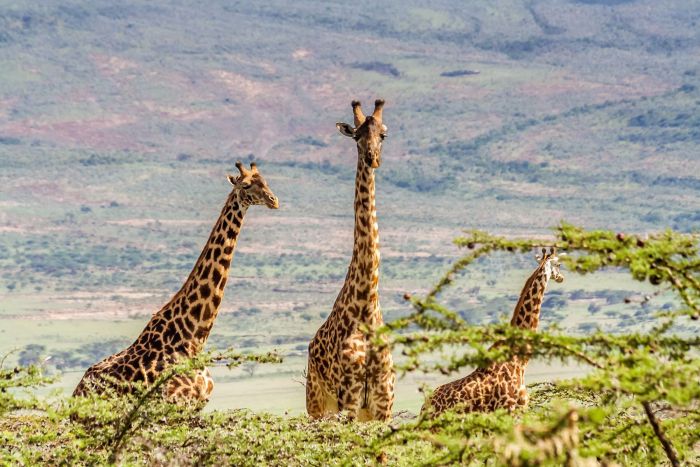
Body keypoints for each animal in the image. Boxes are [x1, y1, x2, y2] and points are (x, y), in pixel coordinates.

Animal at [72, 163, 278, 404]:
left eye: (265, 181)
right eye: (245, 185)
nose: (274, 200)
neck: (193, 338)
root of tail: (77, 390)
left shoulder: (198, 404)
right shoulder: (175, 402)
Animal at [304, 100, 396, 422]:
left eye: (383, 135)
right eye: (356, 136)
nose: (372, 159)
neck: (366, 308)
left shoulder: (383, 403)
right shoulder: (350, 398)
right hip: (318, 403)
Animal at [422, 249, 564, 416]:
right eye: (559, 264)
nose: (561, 277)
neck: (519, 361)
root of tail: (424, 406)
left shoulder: (521, 408)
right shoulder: (509, 408)